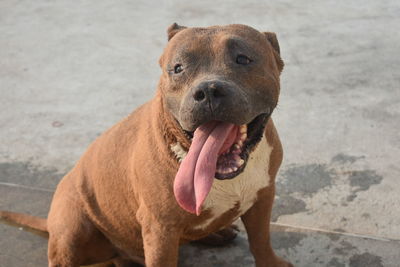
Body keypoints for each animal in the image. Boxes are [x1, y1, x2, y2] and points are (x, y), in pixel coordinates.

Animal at [1, 23, 292, 267]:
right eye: (177, 68)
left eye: (243, 59)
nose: (208, 91)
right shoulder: (160, 228)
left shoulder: (263, 196)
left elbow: (261, 240)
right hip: (71, 224)